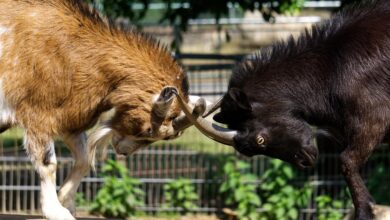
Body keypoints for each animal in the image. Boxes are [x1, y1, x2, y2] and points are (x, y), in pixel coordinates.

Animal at [0, 0, 190, 219]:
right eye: (149, 130)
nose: (122, 151)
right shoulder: (38, 115)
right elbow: (48, 163)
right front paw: (56, 211)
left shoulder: (70, 118)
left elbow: (84, 159)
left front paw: (67, 202)